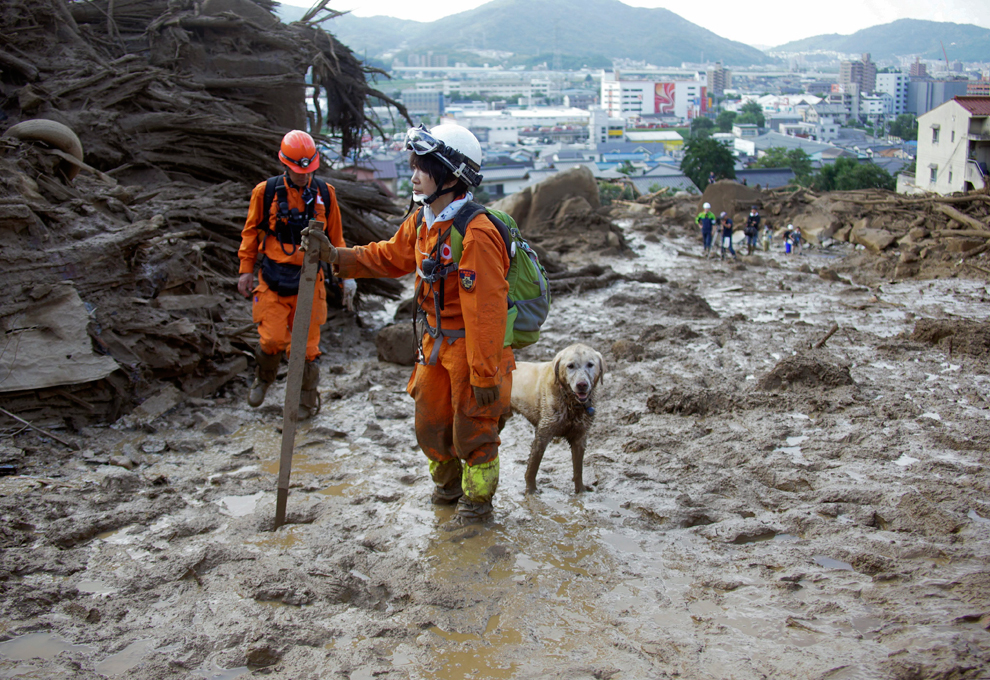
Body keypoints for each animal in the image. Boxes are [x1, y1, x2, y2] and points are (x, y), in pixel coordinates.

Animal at [512, 342, 604, 492]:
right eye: (570, 366)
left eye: (590, 364)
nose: (582, 385)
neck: (570, 402)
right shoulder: (542, 435)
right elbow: (532, 468)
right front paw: (531, 491)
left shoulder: (580, 437)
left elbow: (578, 470)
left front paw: (581, 491)